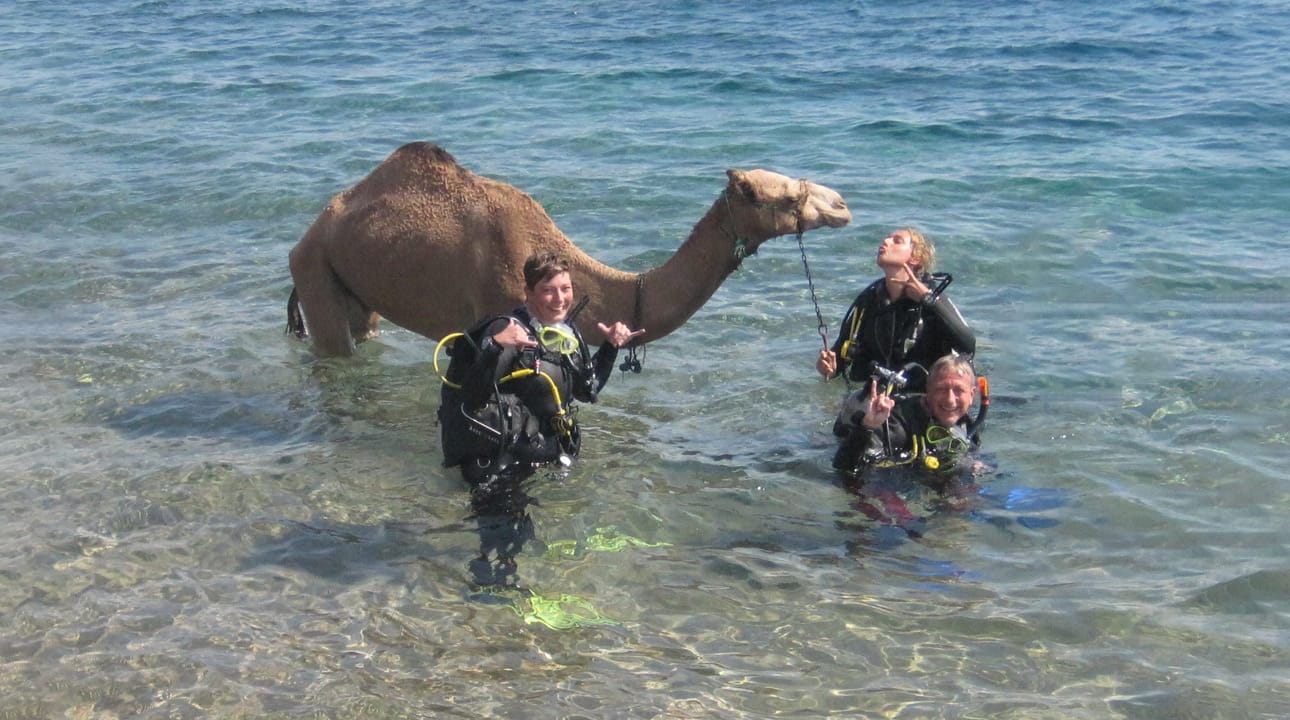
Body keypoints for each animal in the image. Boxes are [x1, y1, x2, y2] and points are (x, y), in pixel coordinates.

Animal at [285, 142, 846, 356]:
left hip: (357, 281)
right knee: (333, 345)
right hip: (313, 266)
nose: (842, 205)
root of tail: (316, 225)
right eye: (789, 196)